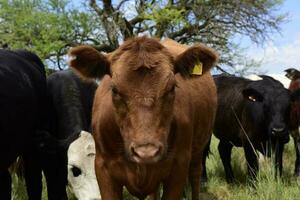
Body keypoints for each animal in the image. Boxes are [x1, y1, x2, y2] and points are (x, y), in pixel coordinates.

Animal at [68, 36, 218, 199]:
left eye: (172, 87)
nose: (146, 153)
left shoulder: (179, 165)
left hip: (197, 152)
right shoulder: (103, 169)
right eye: (114, 90)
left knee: (195, 176)